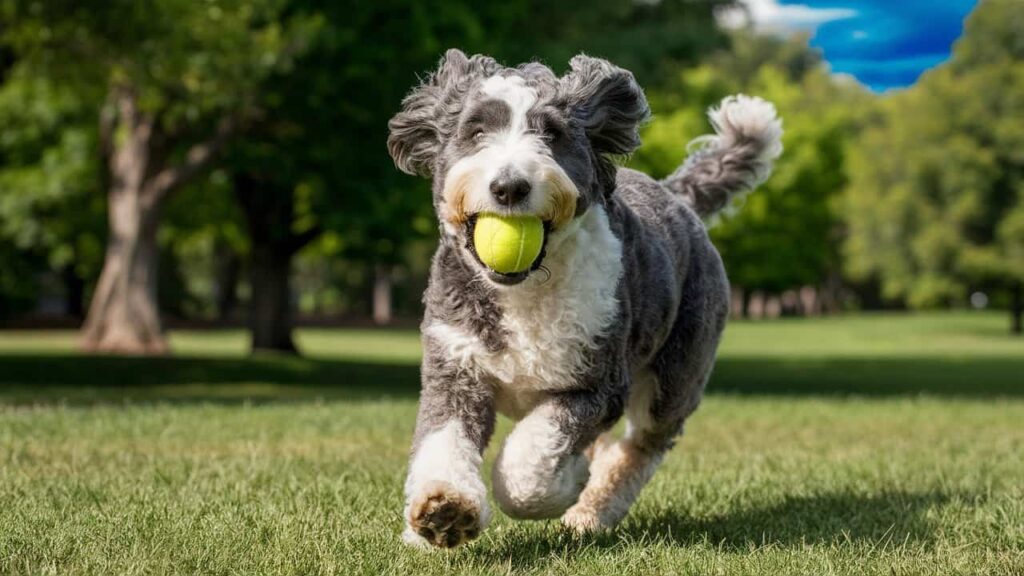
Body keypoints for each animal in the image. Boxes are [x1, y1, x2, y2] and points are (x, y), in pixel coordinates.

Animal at [387, 47, 778, 545]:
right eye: (475, 132)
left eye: (551, 135)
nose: (510, 186)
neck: (525, 292)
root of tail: (676, 195)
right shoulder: (455, 368)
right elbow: (442, 440)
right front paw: (445, 511)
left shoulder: (596, 384)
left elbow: (530, 462)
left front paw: (565, 485)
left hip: (678, 372)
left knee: (641, 446)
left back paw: (590, 510)